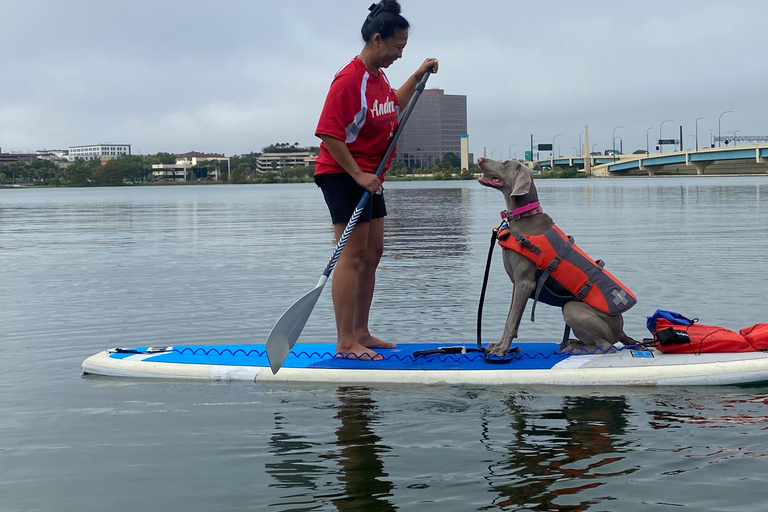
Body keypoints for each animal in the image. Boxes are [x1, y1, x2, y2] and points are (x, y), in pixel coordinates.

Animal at [476, 157, 640, 356]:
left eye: (506, 163)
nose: (480, 159)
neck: (524, 217)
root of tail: (621, 330)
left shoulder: (525, 283)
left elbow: (511, 320)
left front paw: (502, 350)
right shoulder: (517, 283)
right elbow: (511, 317)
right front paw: (498, 345)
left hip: (572, 308)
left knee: (606, 346)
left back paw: (575, 348)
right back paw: (572, 342)